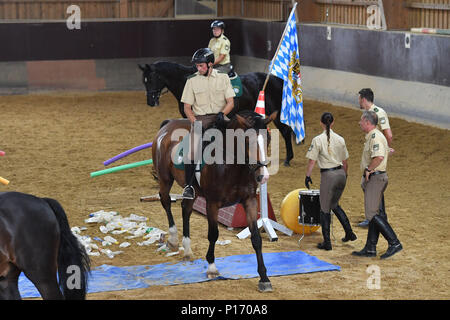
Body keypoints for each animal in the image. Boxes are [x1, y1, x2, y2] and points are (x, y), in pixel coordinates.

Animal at [139, 61, 298, 166]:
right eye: (144, 81)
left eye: (151, 79)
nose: (150, 101)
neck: (185, 81)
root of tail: (277, 79)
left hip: (275, 113)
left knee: (285, 131)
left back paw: (288, 159)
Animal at [153, 110, 276, 292]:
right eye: (247, 140)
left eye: (268, 138)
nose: (263, 176)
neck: (233, 166)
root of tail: (169, 124)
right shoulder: (212, 203)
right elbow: (213, 234)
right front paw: (211, 268)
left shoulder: (250, 201)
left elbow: (256, 238)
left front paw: (264, 278)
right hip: (165, 179)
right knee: (166, 201)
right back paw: (173, 239)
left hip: (193, 192)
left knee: (186, 209)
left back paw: (187, 250)